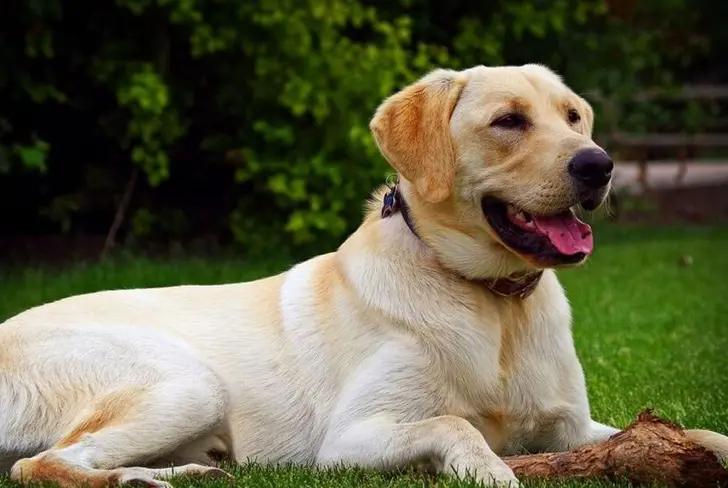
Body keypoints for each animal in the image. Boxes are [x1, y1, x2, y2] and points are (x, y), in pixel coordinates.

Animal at [1, 66, 728, 488]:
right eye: (508, 121)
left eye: (573, 115)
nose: (598, 165)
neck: (492, 303)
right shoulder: (350, 439)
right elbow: (456, 425)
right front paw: (492, 470)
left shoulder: (573, 430)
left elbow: (696, 433)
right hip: (185, 381)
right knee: (39, 463)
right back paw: (136, 478)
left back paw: (185, 470)